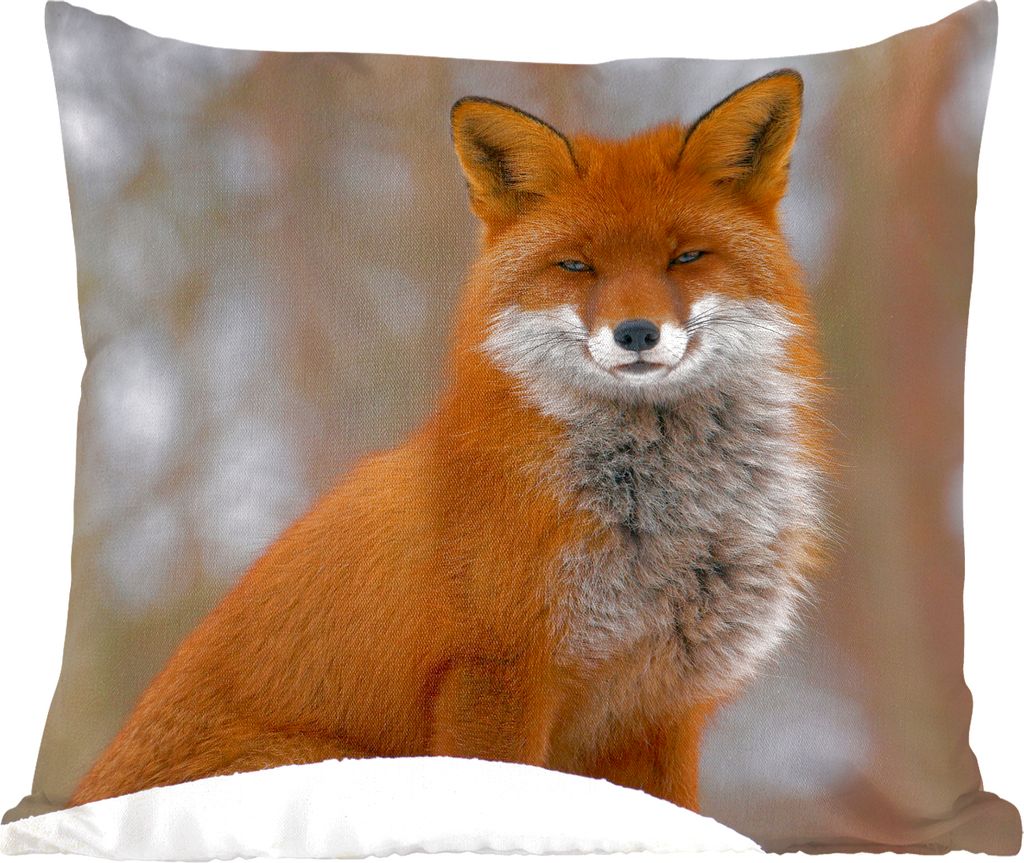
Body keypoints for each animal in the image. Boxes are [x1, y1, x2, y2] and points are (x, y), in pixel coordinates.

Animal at [70, 68, 829, 812]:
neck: (665, 528)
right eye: (576, 266)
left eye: (687, 256)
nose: (636, 333)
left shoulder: (663, 704)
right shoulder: (495, 671)